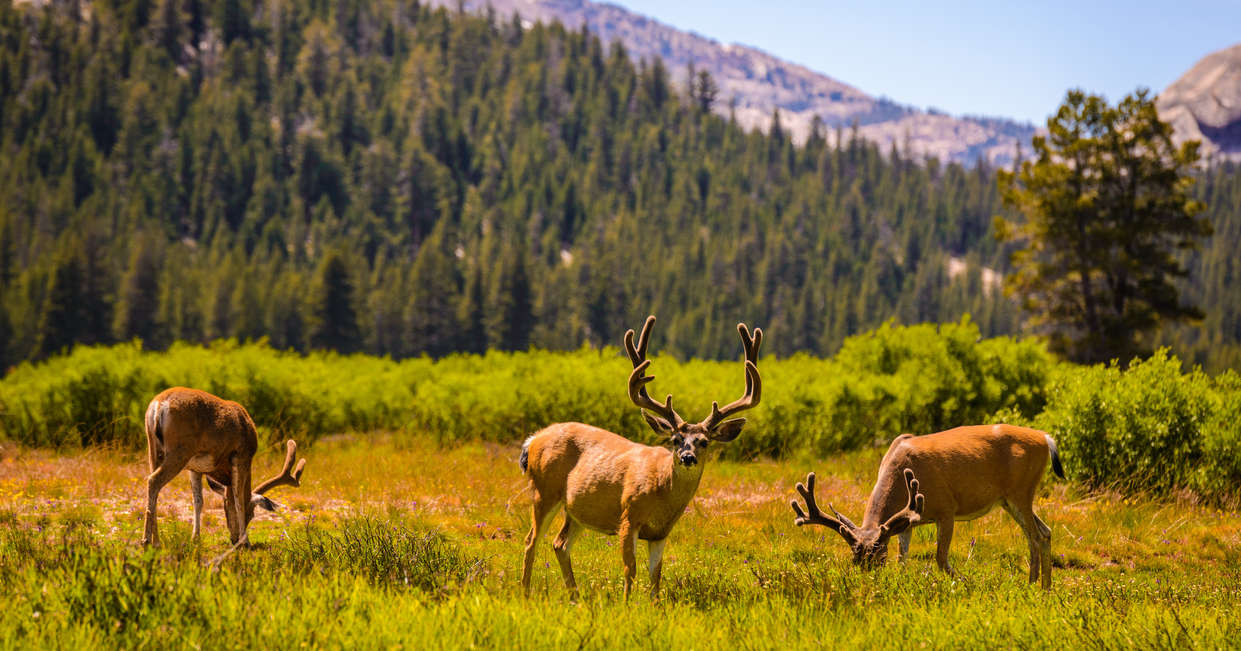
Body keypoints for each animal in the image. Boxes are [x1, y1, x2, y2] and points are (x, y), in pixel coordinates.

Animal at [143, 386, 307, 548]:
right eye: (252, 514)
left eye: (224, 506)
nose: (234, 538)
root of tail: (159, 405)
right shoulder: (241, 455)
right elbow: (239, 498)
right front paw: (246, 541)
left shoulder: (195, 468)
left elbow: (198, 501)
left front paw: (196, 538)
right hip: (180, 451)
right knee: (153, 480)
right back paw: (149, 541)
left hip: (154, 450)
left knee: (154, 484)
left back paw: (154, 541)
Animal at [518, 316, 759, 600]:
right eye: (675, 439)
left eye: (704, 442)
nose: (688, 457)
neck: (661, 493)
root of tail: (534, 439)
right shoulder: (628, 516)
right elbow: (629, 567)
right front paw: (626, 603)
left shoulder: (660, 532)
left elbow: (656, 574)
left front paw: (654, 605)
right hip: (543, 491)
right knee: (531, 540)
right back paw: (525, 592)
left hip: (576, 510)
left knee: (560, 544)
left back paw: (576, 597)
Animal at [789, 421, 1062, 587]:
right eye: (855, 560)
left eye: (879, 557)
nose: (867, 583)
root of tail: (1046, 438)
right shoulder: (908, 522)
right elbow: (903, 558)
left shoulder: (947, 508)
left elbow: (940, 558)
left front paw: (966, 583)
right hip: (1009, 499)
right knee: (1044, 531)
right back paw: (1042, 587)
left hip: (1021, 492)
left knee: (1036, 535)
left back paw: (1034, 586)